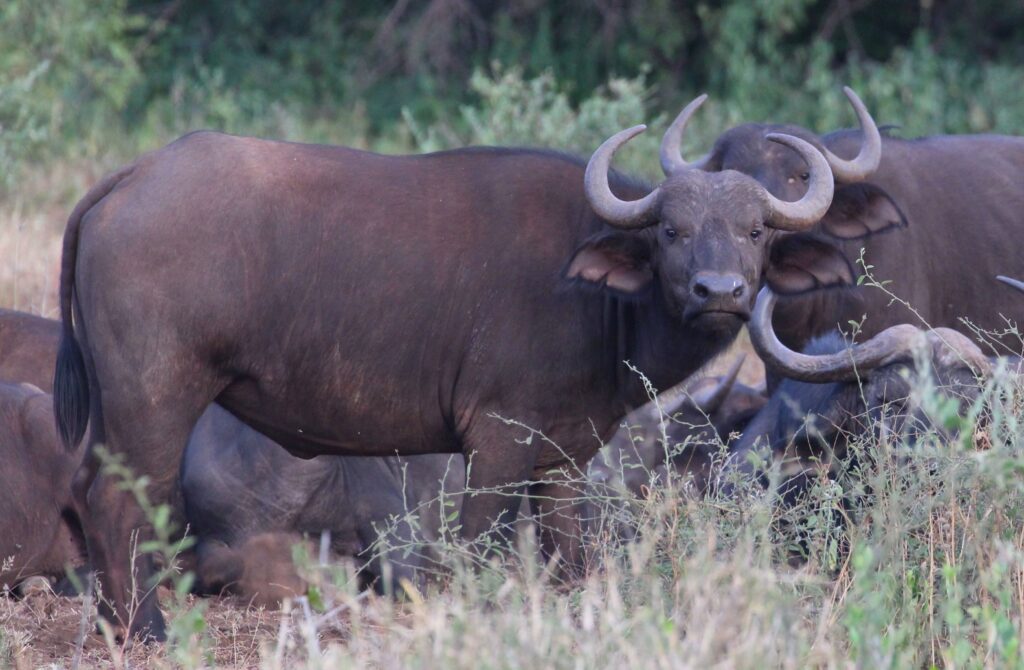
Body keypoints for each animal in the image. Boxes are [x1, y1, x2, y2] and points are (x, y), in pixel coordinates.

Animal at [56, 115, 860, 639]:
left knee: (86, 493)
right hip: (156, 400)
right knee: (119, 502)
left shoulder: (564, 456)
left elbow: (567, 551)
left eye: (756, 232)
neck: (595, 296)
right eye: (672, 231)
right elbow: (479, 546)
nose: (719, 291)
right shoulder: (496, 439)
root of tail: (134, 177)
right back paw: (146, 629)